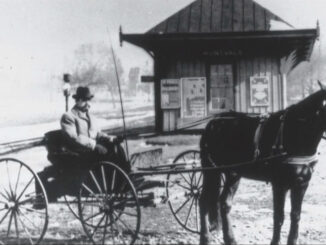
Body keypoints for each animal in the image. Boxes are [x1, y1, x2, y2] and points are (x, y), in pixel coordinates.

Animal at [200, 84, 326, 245]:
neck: (295, 131)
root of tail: (213, 122)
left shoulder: (302, 184)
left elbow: (295, 215)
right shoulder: (279, 184)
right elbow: (279, 216)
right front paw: (275, 241)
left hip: (232, 174)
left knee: (224, 203)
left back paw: (230, 239)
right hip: (211, 171)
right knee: (204, 200)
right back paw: (205, 238)